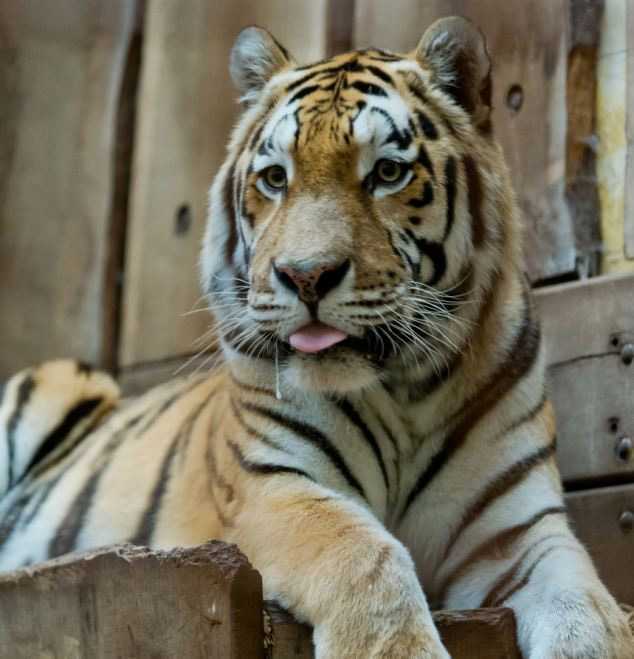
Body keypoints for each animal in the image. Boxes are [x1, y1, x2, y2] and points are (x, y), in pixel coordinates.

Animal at [0, 16, 632, 658]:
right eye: (276, 178)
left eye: (387, 173)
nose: (306, 276)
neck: (407, 392)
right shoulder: (271, 486)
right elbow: (365, 553)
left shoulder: (518, 529)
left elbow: (585, 608)